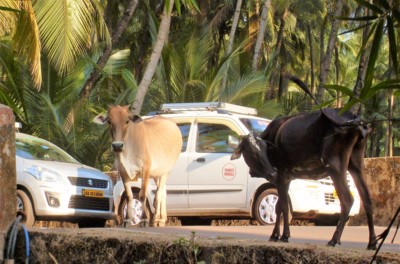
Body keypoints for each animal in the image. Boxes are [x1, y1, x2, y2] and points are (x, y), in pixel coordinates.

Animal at [231, 107, 378, 250]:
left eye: (264, 149)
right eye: (252, 152)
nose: (272, 173)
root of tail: (356, 120)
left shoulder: (281, 178)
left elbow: (283, 206)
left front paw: (284, 236)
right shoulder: (286, 179)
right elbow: (279, 207)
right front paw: (275, 235)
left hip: (335, 165)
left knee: (347, 199)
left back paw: (333, 240)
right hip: (356, 163)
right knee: (367, 199)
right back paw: (372, 242)